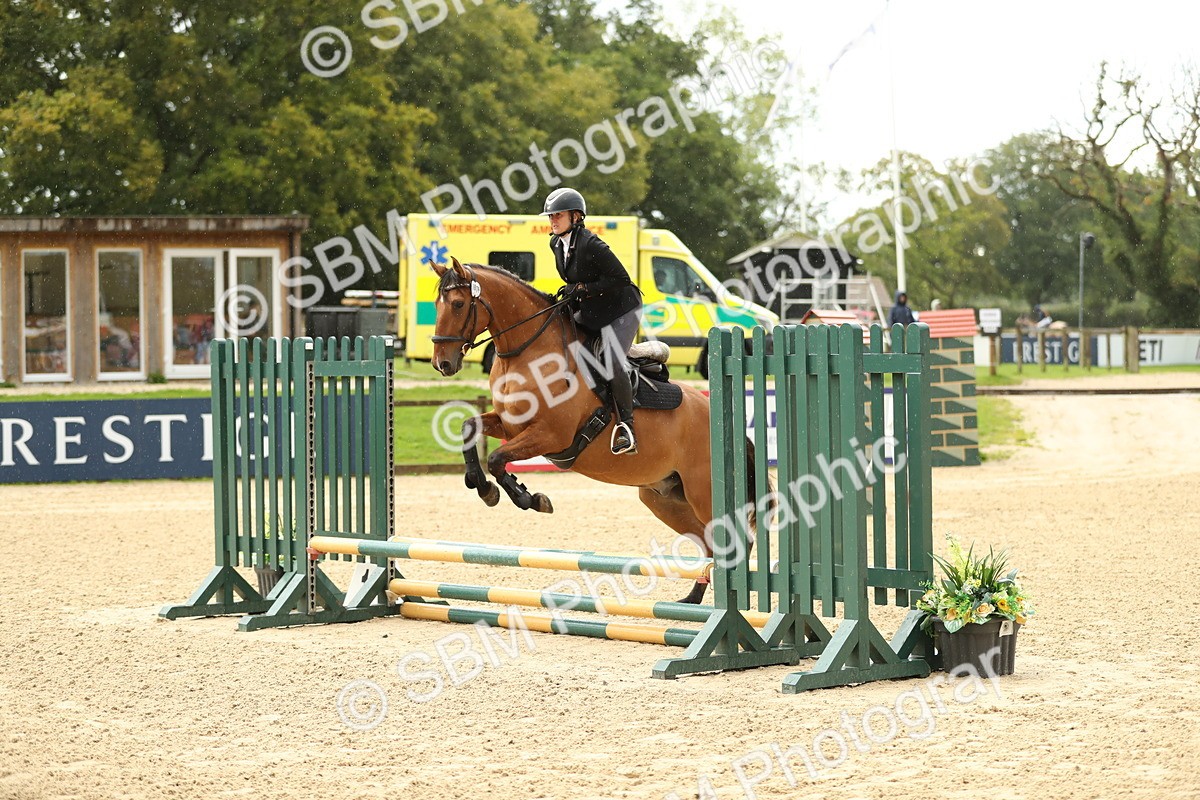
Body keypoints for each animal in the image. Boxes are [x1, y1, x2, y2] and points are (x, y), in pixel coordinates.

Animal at [429, 258, 760, 604]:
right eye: (437, 304)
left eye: (458, 304)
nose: (441, 363)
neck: (527, 354)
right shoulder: (509, 425)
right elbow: (469, 429)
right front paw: (483, 487)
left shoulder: (550, 435)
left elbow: (495, 459)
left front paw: (529, 498)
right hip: (665, 498)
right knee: (711, 543)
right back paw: (691, 601)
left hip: (702, 493)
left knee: (738, 541)